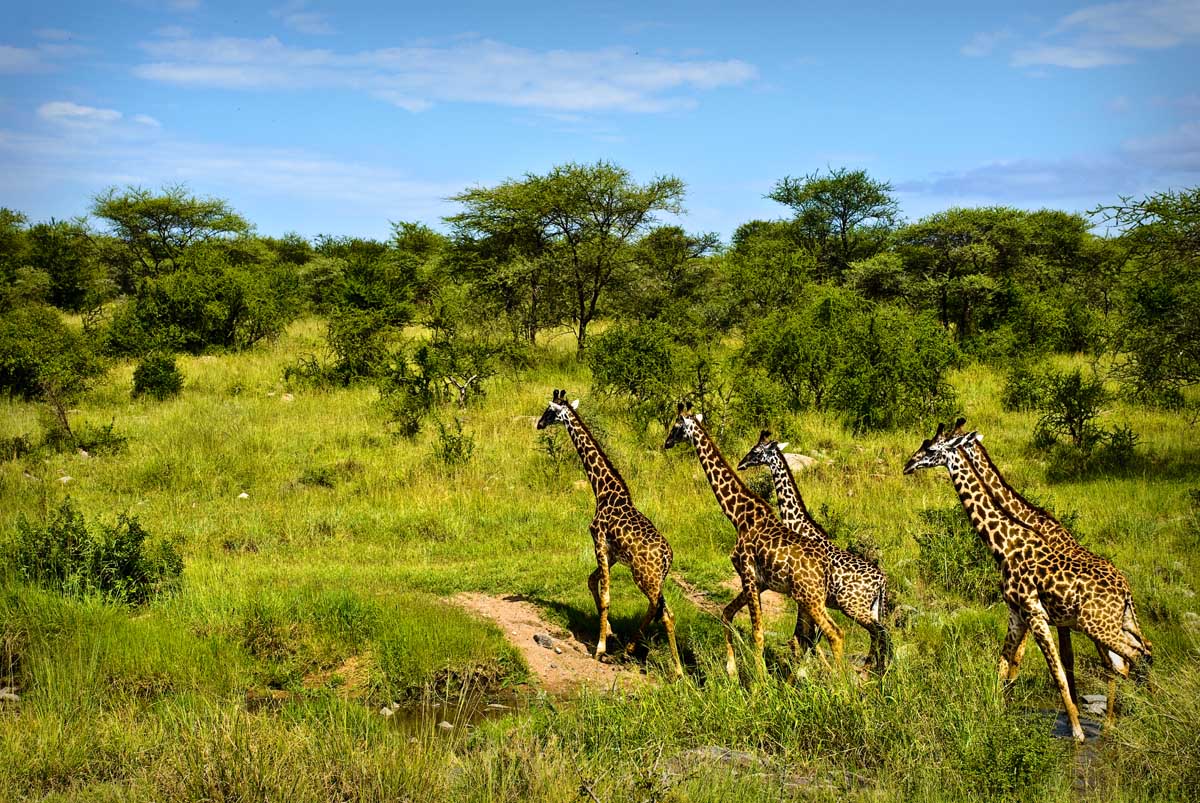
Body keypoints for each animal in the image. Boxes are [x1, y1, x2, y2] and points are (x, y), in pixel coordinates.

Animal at [537, 388, 686, 676]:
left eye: (549, 410)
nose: (538, 423)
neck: (603, 490)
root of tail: (667, 558)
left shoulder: (599, 542)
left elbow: (606, 597)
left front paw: (600, 648)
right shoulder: (614, 553)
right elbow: (591, 581)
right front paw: (609, 633)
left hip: (644, 577)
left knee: (662, 610)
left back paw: (644, 655)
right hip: (654, 578)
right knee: (662, 611)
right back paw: (667, 665)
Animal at [662, 403, 840, 672]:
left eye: (676, 426)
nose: (666, 442)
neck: (740, 516)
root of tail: (825, 567)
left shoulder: (746, 572)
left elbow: (757, 631)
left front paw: (760, 679)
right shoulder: (759, 581)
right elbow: (727, 614)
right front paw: (732, 671)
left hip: (809, 598)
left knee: (832, 634)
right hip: (813, 599)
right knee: (822, 635)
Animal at [729, 432, 892, 672]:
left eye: (756, 451)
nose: (741, 463)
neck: (798, 523)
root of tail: (882, 580)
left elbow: (806, 635)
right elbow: (808, 636)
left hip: (853, 606)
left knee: (881, 633)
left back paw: (876, 669)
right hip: (871, 607)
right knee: (879, 634)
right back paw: (876, 668)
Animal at [902, 422, 1147, 744]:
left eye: (930, 448)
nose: (908, 464)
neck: (1007, 543)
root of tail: (1125, 590)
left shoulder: (1036, 614)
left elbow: (1057, 670)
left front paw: (1077, 731)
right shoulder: (1020, 615)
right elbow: (1006, 664)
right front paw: (996, 712)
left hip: (1097, 627)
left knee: (1131, 658)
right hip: (1117, 624)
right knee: (1133, 657)